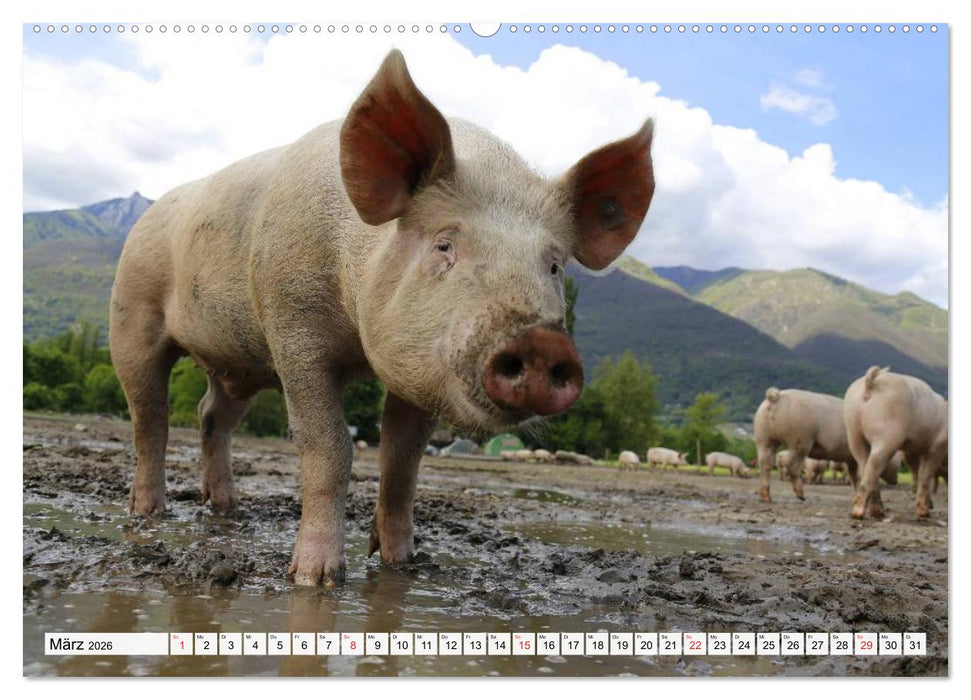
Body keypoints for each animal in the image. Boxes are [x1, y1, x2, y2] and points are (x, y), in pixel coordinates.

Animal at [109, 50, 656, 587]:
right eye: (444, 244)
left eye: (554, 266)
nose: (542, 342)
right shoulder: (293, 330)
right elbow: (329, 449)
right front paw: (316, 578)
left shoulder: (420, 370)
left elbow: (402, 463)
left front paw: (403, 564)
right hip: (131, 312)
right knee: (150, 417)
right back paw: (147, 513)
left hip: (235, 363)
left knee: (210, 416)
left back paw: (225, 508)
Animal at [844, 367, 948, 520]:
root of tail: (870, 383)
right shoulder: (937, 445)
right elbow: (925, 475)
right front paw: (924, 513)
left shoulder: (911, 451)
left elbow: (918, 473)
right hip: (886, 434)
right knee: (872, 468)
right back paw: (858, 513)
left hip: (853, 432)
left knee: (864, 465)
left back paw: (878, 512)